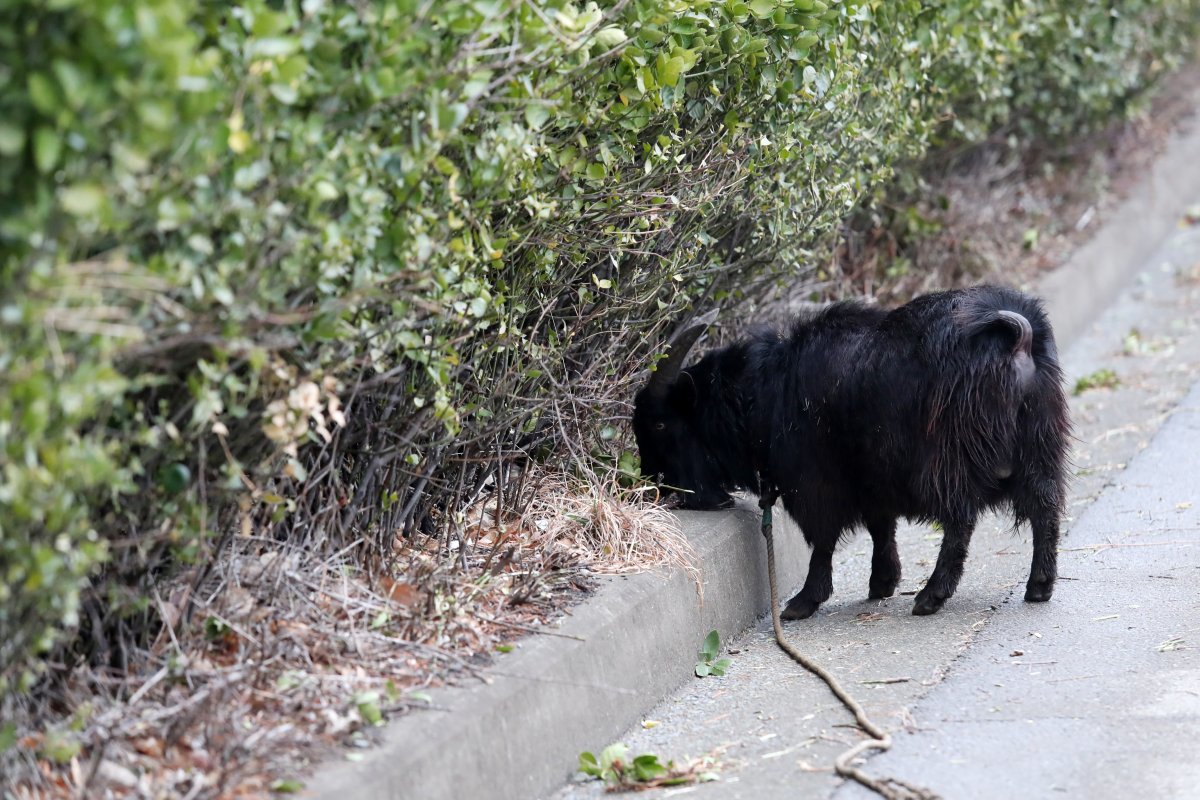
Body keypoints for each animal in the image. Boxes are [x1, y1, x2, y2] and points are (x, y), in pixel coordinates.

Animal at [633, 287, 1075, 618]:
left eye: (659, 425)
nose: (657, 487)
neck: (768, 387)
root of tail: (1018, 335)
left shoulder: (814, 484)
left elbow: (823, 540)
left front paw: (803, 601)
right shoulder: (872, 479)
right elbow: (881, 527)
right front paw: (882, 581)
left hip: (949, 462)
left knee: (960, 522)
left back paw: (931, 596)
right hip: (1039, 452)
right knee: (1045, 510)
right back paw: (1039, 585)